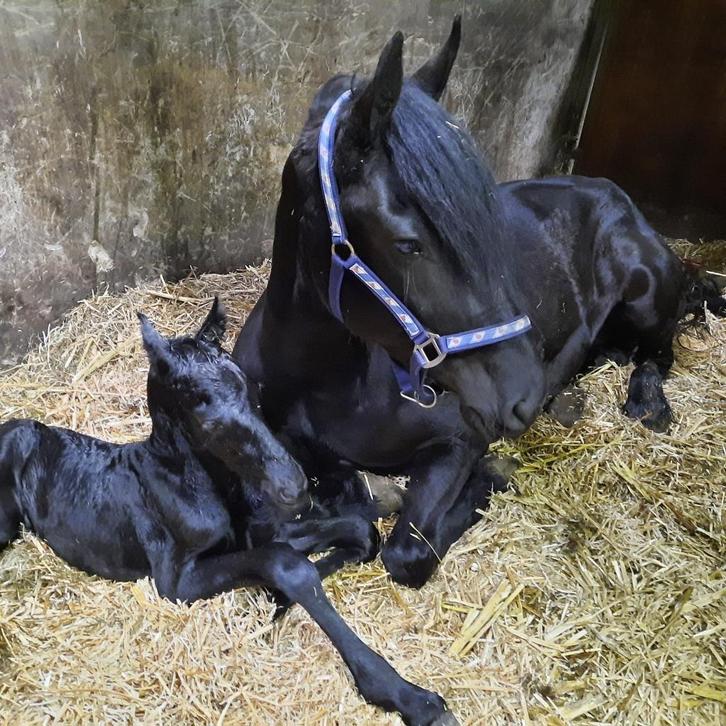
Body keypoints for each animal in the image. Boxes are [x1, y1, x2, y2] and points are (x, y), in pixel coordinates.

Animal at [0, 300, 458, 726]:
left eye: (253, 392)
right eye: (206, 417)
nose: (293, 487)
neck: (206, 487)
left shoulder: (257, 535)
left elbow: (360, 531)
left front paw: (281, 596)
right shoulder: (174, 580)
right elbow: (288, 566)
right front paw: (410, 698)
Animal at [232, 16, 724, 591]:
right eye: (408, 244)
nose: (523, 396)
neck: (324, 379)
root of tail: (619, 196)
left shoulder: (459, 441)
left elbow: (407, 553)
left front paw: (488, 478)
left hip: (645, 297)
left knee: (662, 351)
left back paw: (646, 403)